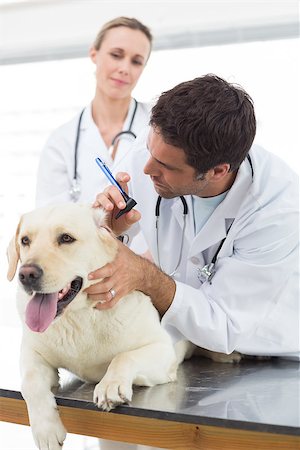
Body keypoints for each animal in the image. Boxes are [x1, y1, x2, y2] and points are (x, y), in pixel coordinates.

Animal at [7, 204, 192, 450]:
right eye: (25, 240)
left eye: (66, 238)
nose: (26, 274)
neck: (81, 316)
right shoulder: (32, 352)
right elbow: (30, 382)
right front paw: (46, 429)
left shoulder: (163, 351)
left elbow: (124, 357)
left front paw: (110, 385)